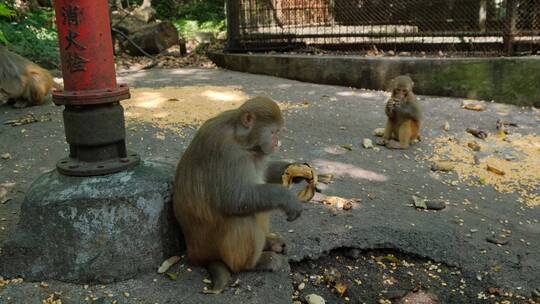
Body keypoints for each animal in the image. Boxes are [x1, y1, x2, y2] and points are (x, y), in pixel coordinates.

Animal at [176, 96, 306, 294]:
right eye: (273, 132)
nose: (276, 142)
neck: (241, 139)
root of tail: (196, 255)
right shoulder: (228, 152)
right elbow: (235, 199)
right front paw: (288, 198)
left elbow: (264, 173)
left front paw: (297, 171)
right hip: (214, 249)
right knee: (242, 219)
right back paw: (253, 264)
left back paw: (269, 244)